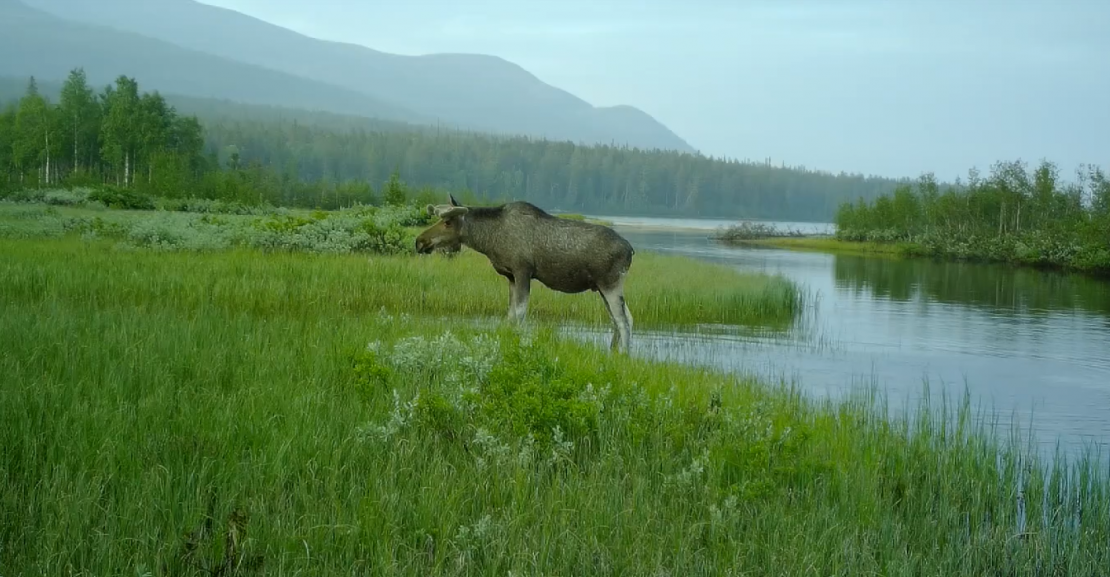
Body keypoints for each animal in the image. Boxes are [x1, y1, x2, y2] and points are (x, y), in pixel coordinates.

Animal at [415, 194, 636, 353]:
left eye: (447, 223)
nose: (419, 241)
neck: (489, 240)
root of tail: (631, 250)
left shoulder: (523, 271)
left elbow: (520, 313)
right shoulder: (511, 276)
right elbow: (510, 314)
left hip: (611, 284)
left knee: (622, 321)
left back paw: (623, 356)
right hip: (601, 288)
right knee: (625, 318)